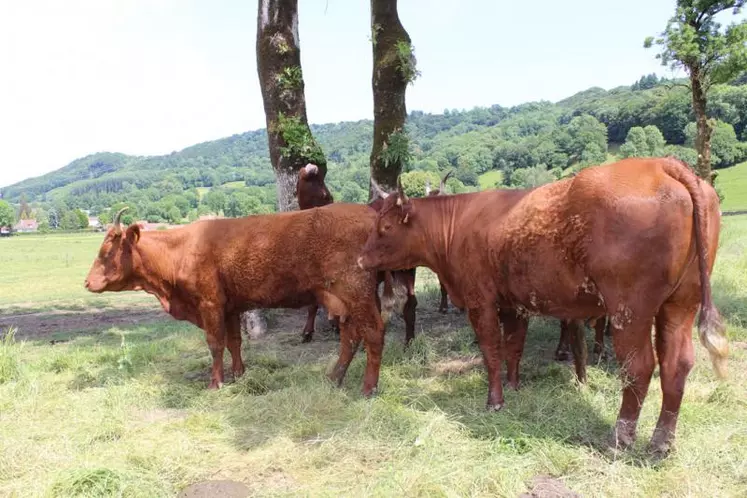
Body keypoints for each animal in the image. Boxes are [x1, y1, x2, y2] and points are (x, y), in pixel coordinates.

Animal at [84, 203, 392, 396]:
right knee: (351, 338)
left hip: (357, 294)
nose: (86, 282)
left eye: (106, 252)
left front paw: (215, 382)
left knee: (373, 333)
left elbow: (215, 344)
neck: (181, 249)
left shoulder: (209, 304)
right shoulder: (230, 307)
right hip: (347, 301)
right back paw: (334, 378)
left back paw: (368, 388)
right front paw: (239, 374)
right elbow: (234, 341)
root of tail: (370, 213)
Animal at [360, 157, 728, 456]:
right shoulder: (515, 305)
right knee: (676, 365)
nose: (361, 260)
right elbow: (514, 347)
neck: (459, 223)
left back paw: (619, 440)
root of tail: (661, 164)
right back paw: (661, 444)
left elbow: (491, 351)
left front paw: (495, 400)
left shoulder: (480, 302)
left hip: (629, 310)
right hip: (680, 305)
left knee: (638, 368)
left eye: (385, 227)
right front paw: (514, 385)